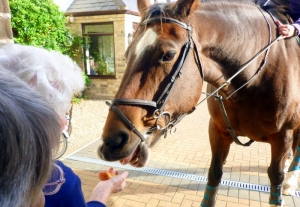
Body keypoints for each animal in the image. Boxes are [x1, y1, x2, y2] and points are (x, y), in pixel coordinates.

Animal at [96, 0, 300, 206]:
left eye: (168, 55)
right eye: (127, 53)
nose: (113, 141)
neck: (254, 78)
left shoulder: (283, 136)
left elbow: (276, 178)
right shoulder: (218, 130)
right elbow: (214, 174)